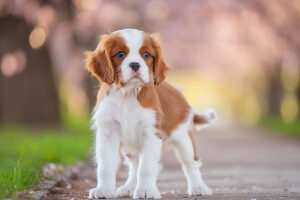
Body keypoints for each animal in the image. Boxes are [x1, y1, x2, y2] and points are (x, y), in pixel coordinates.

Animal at [85, 28, 217, 199]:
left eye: (146, 55)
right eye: (120, 54)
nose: (135, 65)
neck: (128, 94)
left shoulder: (151, 133)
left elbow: (146, 167)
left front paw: (146, 190)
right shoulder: (107, 133)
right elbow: (105, 166)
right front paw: (104, 190)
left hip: (184, 139)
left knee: (191, 163)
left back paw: (198, 187)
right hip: (130, 148)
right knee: (134, 165)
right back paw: (129, 187)